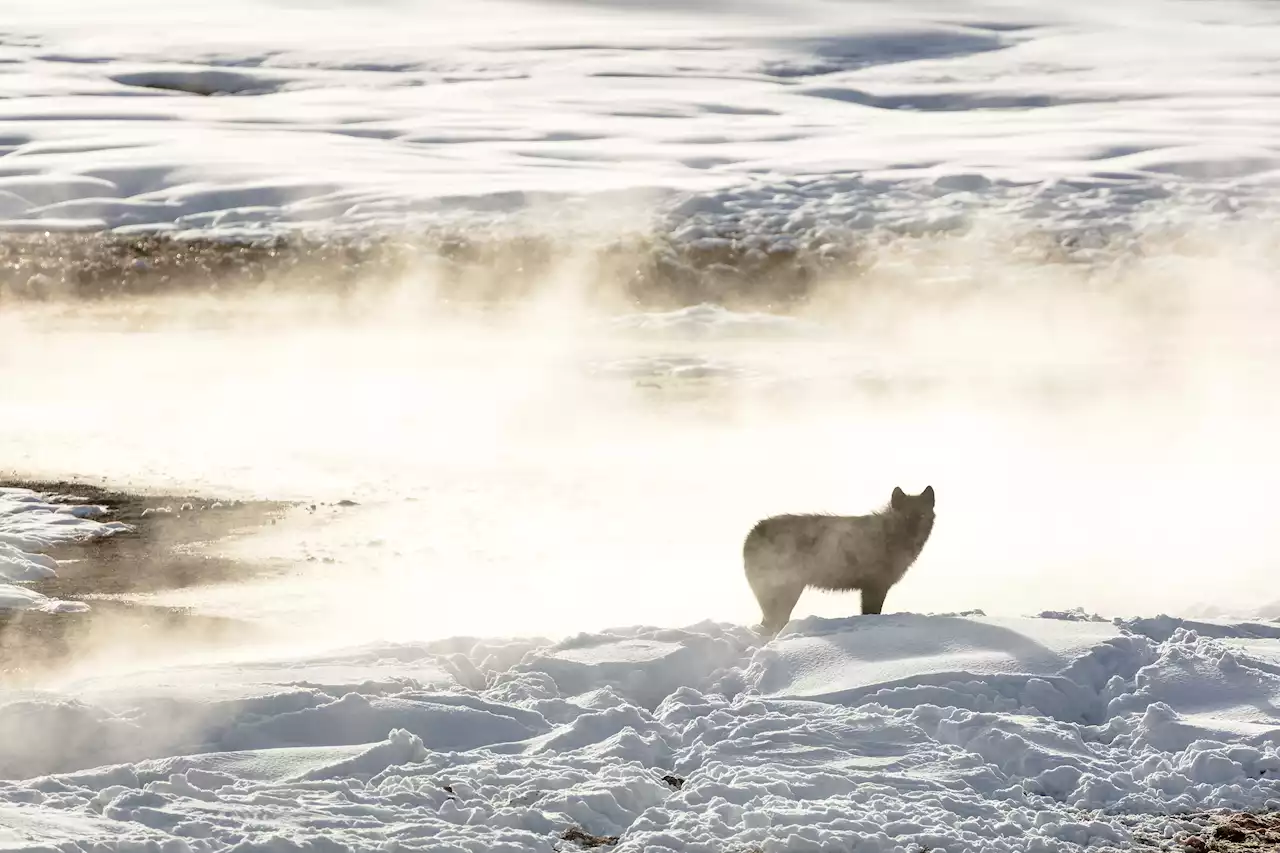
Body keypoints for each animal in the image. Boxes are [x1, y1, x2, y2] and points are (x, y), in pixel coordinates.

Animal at [742, 484, 942, 630]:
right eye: (906, 517)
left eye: (922, 515)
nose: (914, 535)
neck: (889, 536)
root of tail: (752, 533)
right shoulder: (874, 587)